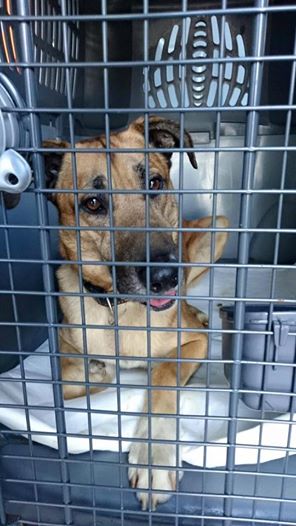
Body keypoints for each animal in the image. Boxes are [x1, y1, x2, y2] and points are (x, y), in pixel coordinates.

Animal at [44, 116, 229, 512]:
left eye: (154, 183)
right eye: (93, 203)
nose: (164, 276)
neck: (121, 308)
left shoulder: (190, 345)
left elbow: (162, 376)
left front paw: (153, 459)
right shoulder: (67, 349)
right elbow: (71, 383)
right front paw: (97, 371)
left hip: (216, 227)